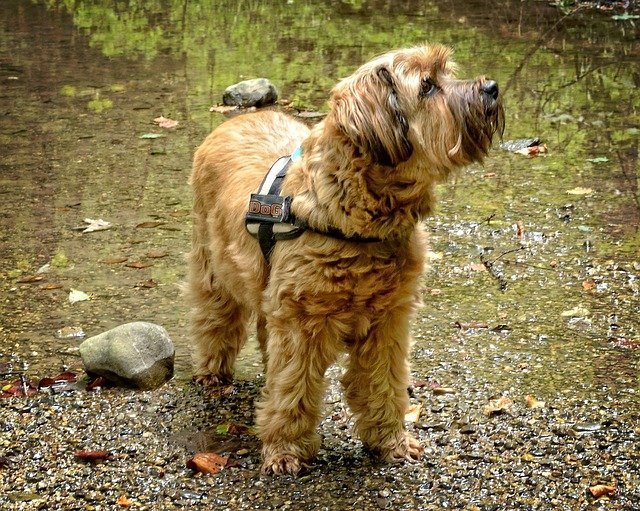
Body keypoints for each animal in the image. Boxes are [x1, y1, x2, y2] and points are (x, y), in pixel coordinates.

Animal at [185, 44, 504, 476]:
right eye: (427, 86)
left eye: (447, 73)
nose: (492, 87)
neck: (359, 217)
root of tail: (236, 120)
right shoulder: (301, 325)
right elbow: (292, 390)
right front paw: (285, 450)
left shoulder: (389, 323)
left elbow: (384, 384)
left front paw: (391, 441)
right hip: (214, 267)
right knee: (215, 320)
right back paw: (213, 373)